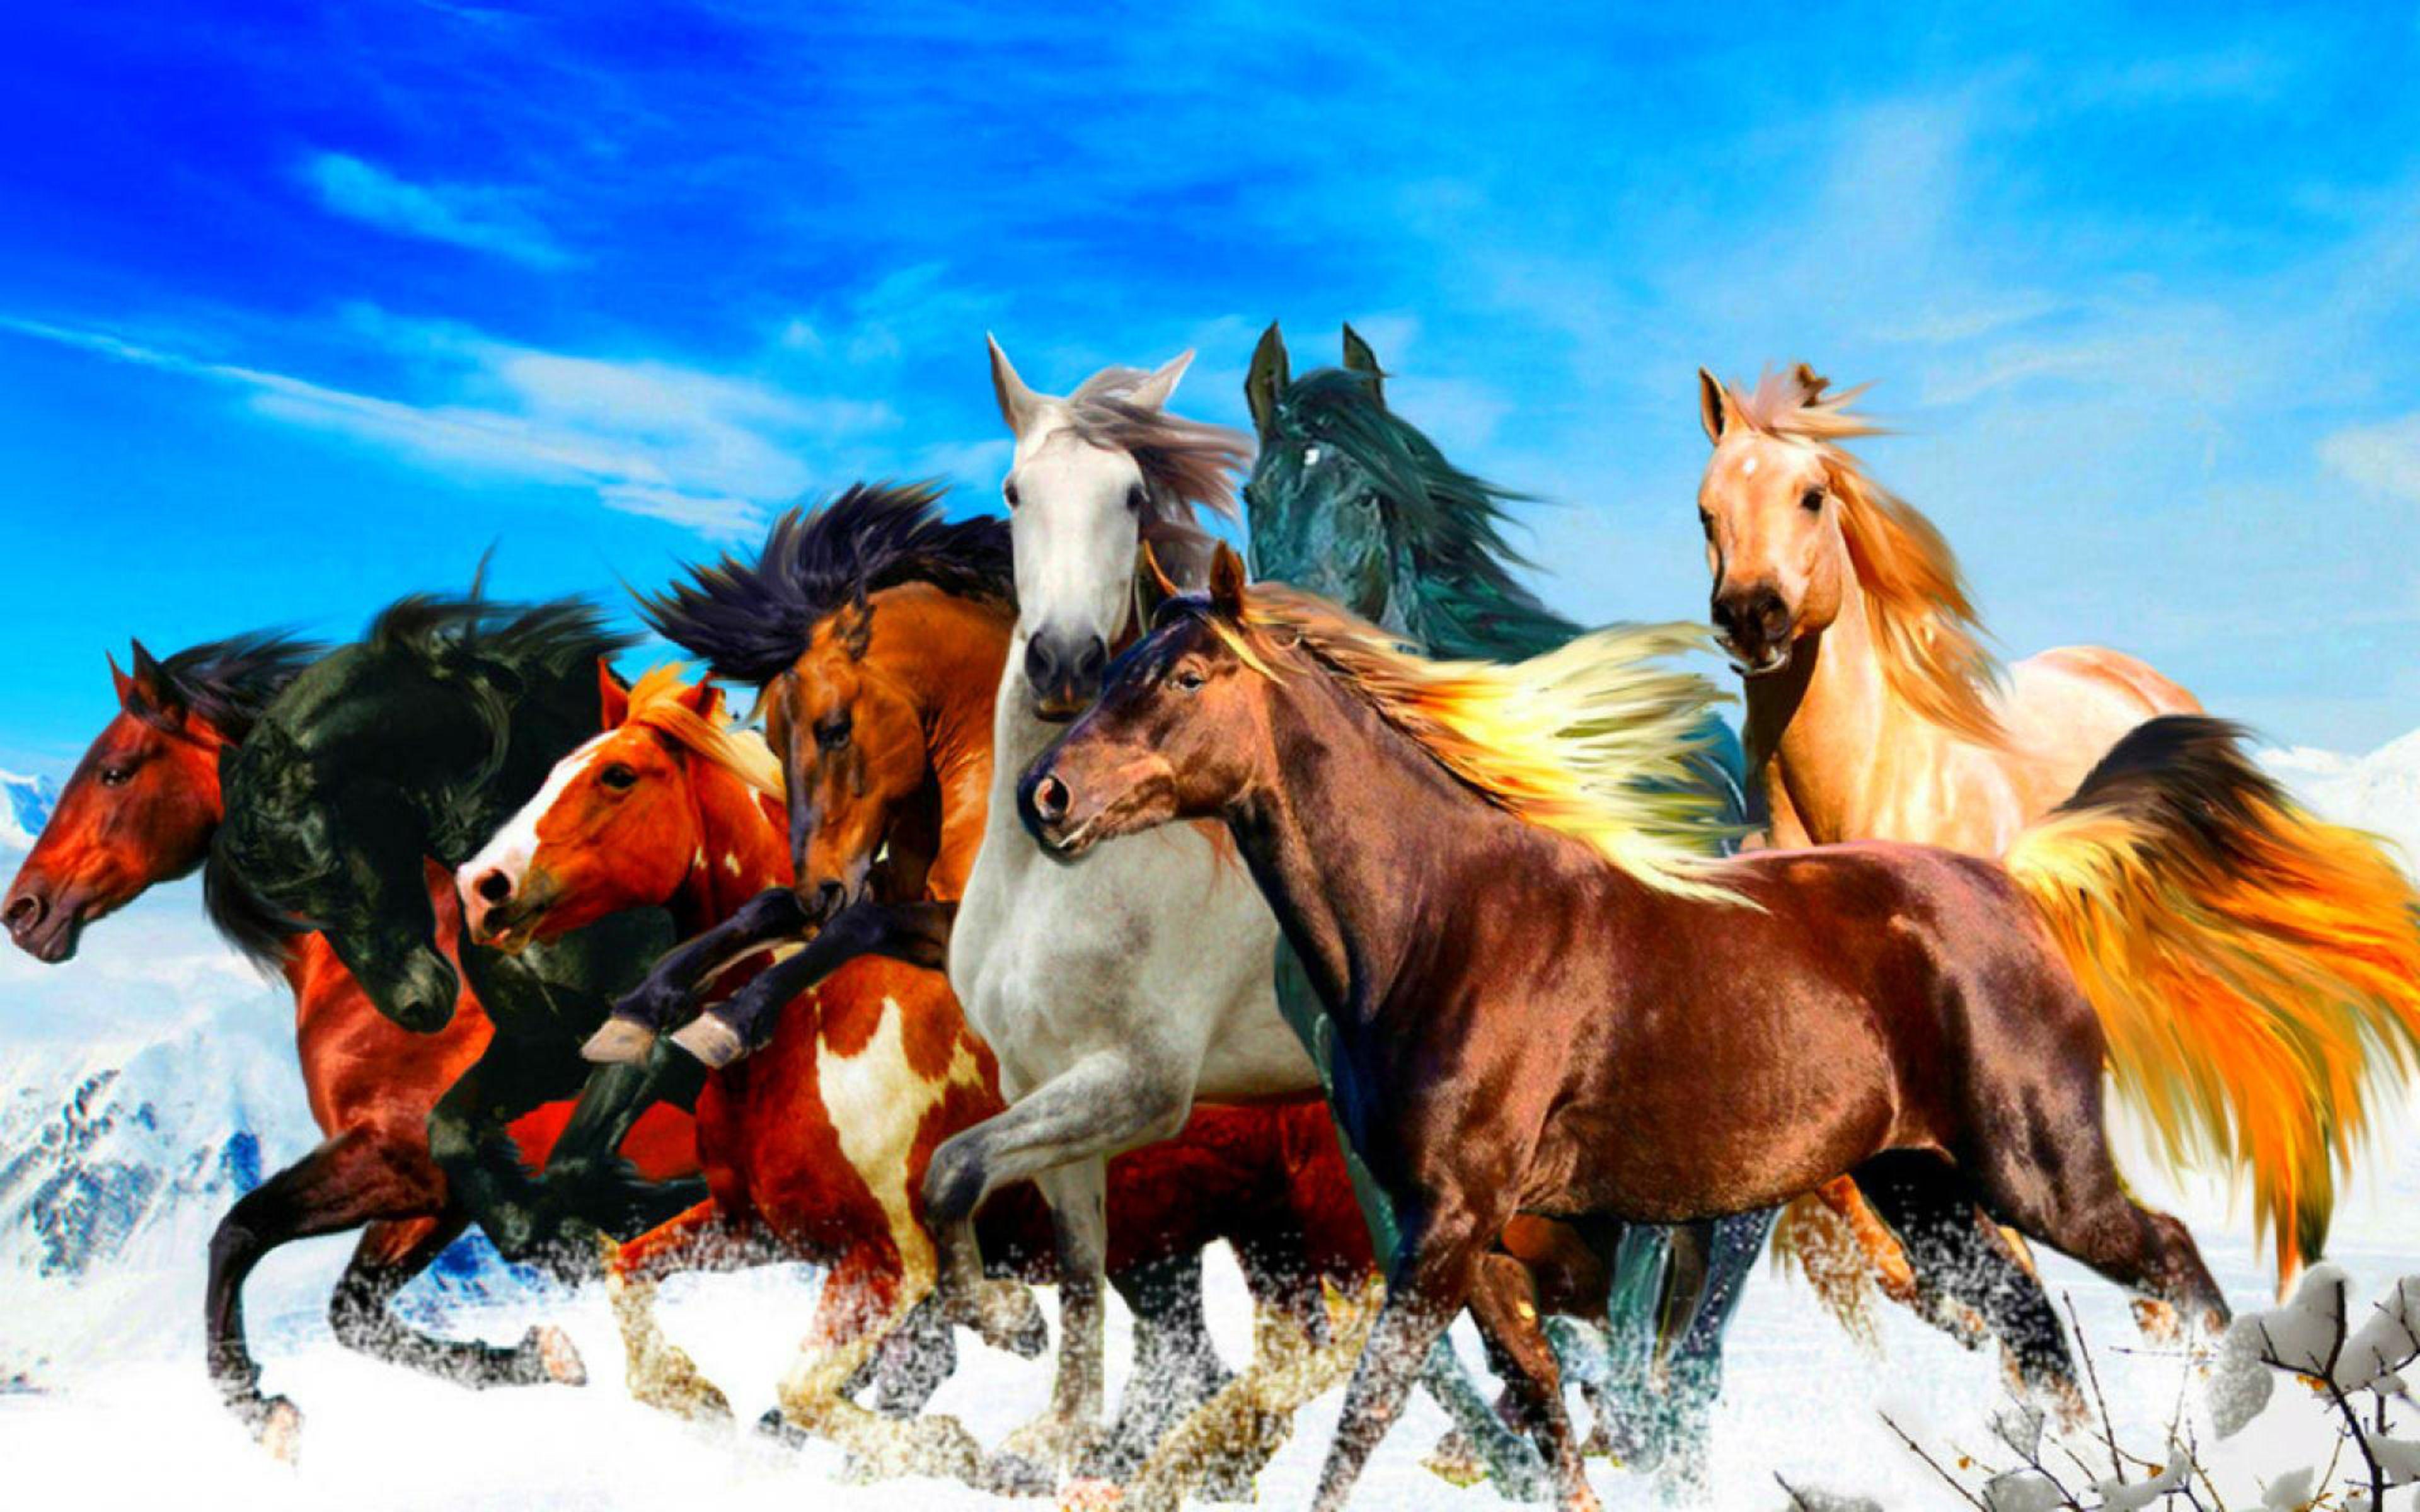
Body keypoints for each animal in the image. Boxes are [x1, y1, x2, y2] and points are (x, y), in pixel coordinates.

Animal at [207, 591, 708, 1265]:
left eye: (331, 871)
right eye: (294, 903)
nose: (414, 1007)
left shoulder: (653, 1037)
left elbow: (573, 1166)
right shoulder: (544, 1049)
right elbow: (453, 1132)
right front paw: (542, 1226)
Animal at [458, 645, 1376, 1496]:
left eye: (617, 775)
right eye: (555, 769)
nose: (480, 886)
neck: (812, 1026)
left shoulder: (887, 1263)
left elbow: (810, 1391)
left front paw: (967, 1415)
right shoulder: (752, 1226)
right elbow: (630, 1281)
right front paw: (700, 1395)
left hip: (1335, 1232)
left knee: (1326, 1358)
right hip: (1244, 1239)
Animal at [1017, 546, 2267, 1512]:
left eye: (1187, 674)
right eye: (1114, 671)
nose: (1046, 797)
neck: (1436, 923)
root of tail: (2012, 885)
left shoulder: (1449, 1227)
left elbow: (1370, 1418)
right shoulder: (1479, 1250)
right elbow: (1542, 1424)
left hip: (2038, 1172)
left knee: (2172, 1264)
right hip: (1925, 1188)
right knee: (2038, 1333)